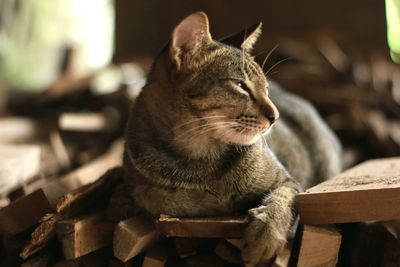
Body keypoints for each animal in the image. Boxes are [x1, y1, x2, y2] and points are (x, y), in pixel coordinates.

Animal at [123, 11, 342, 266]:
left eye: (266, 88)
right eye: (240, 85)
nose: (275, 116)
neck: (198, 158)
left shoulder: (289, 181)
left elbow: (283, 200)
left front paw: (265, 235)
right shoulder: (133, 183)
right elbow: (151, 195)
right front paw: (211, 201)